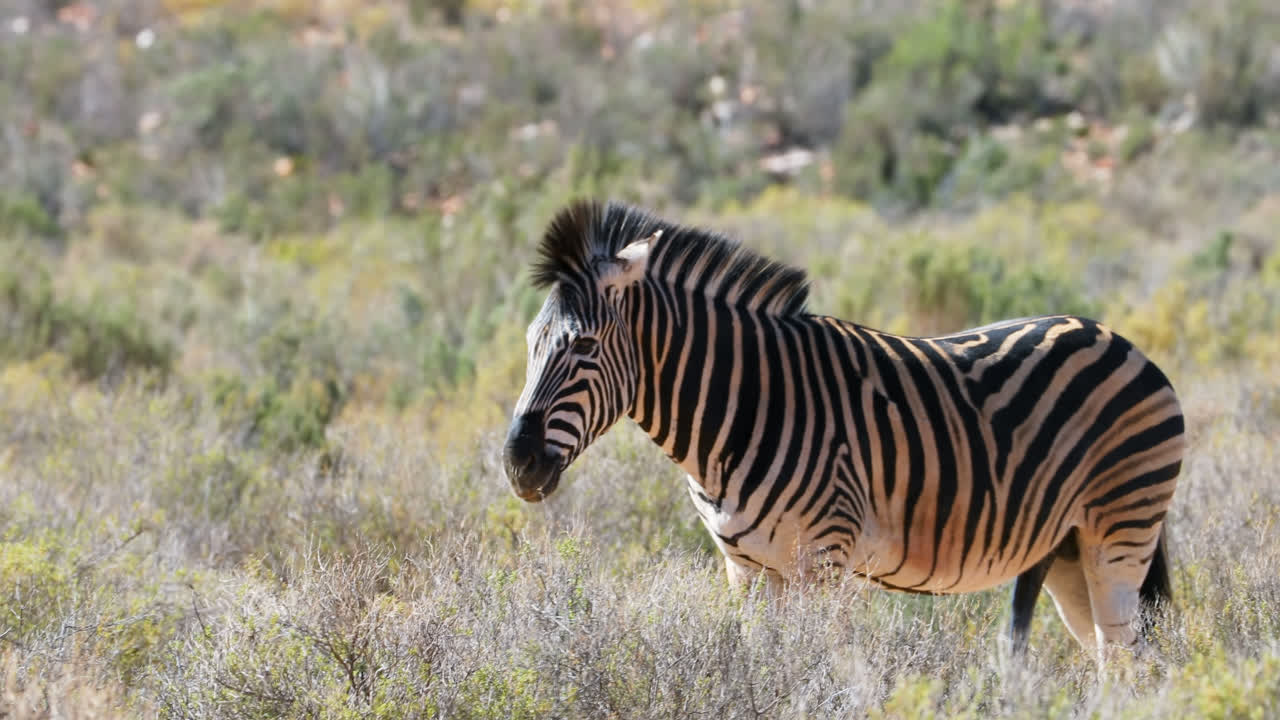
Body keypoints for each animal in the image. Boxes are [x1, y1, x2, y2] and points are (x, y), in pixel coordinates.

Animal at [503, 199, 1185, 656]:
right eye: (531, 342)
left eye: (585, 347)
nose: (517, 461)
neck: (743, 409)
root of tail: (1121, 341)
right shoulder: (748, 571)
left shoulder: (824, 563)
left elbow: (816, 670)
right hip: (1068, 552)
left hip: (1119, 536)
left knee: (1128, 660)